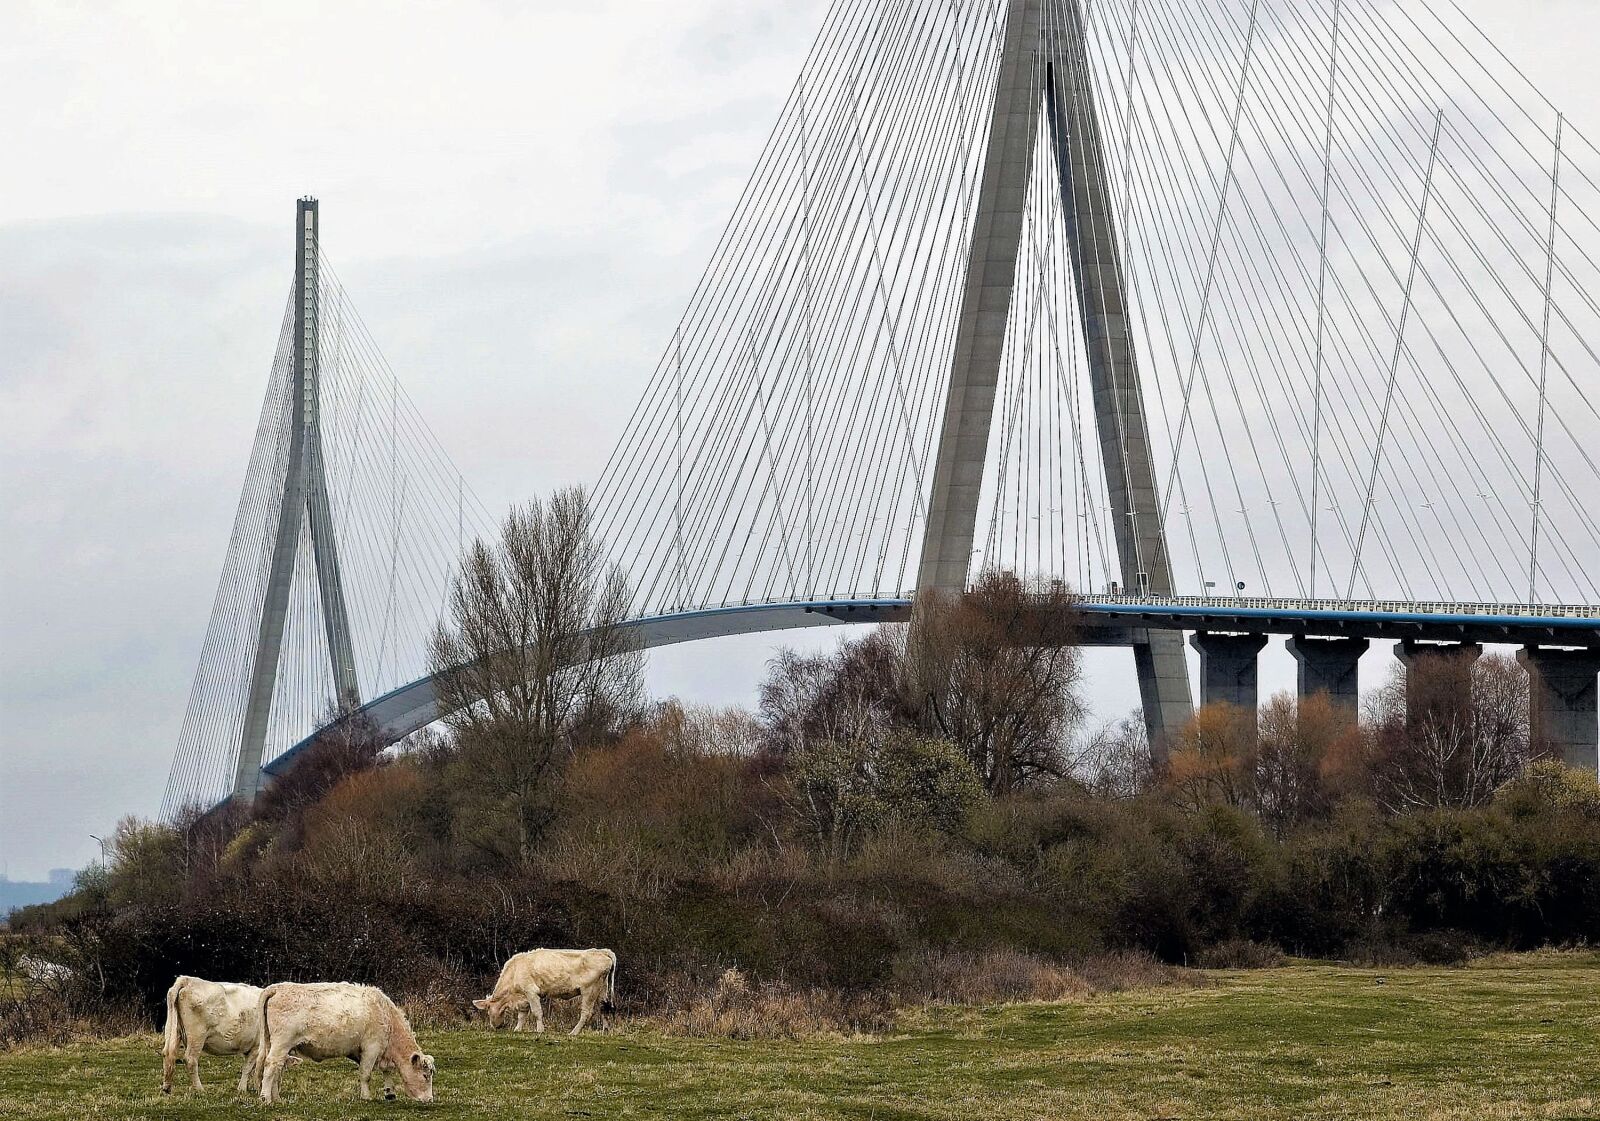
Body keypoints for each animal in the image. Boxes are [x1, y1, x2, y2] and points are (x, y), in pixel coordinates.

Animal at [252, 978, 435, 1100]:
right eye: (425, 1075)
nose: (430, 1099)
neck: (385, 1014)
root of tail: (278, 987)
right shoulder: (372, 1047)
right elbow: (366, 1074)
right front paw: (366, 1097)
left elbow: (386, 1070)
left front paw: (389, 1092)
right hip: (281, 1043)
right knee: (271, 1065)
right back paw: (265, 1098)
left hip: (278, 1045)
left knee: (278, 1068)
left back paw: (276, 1098)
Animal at [470, 946, 614, 1029]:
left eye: (488, 1010)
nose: (495, 1026)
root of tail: (602, 951)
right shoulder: (524, 997)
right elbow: (522, 1015)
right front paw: (517, 1029)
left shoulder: (531, 992)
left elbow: (537, 1012)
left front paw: (540, 1030)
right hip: (602, 989)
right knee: (604, 1009)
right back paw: (605, 1031)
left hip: (589, 990)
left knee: (586, 1013)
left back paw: (573, 1033)